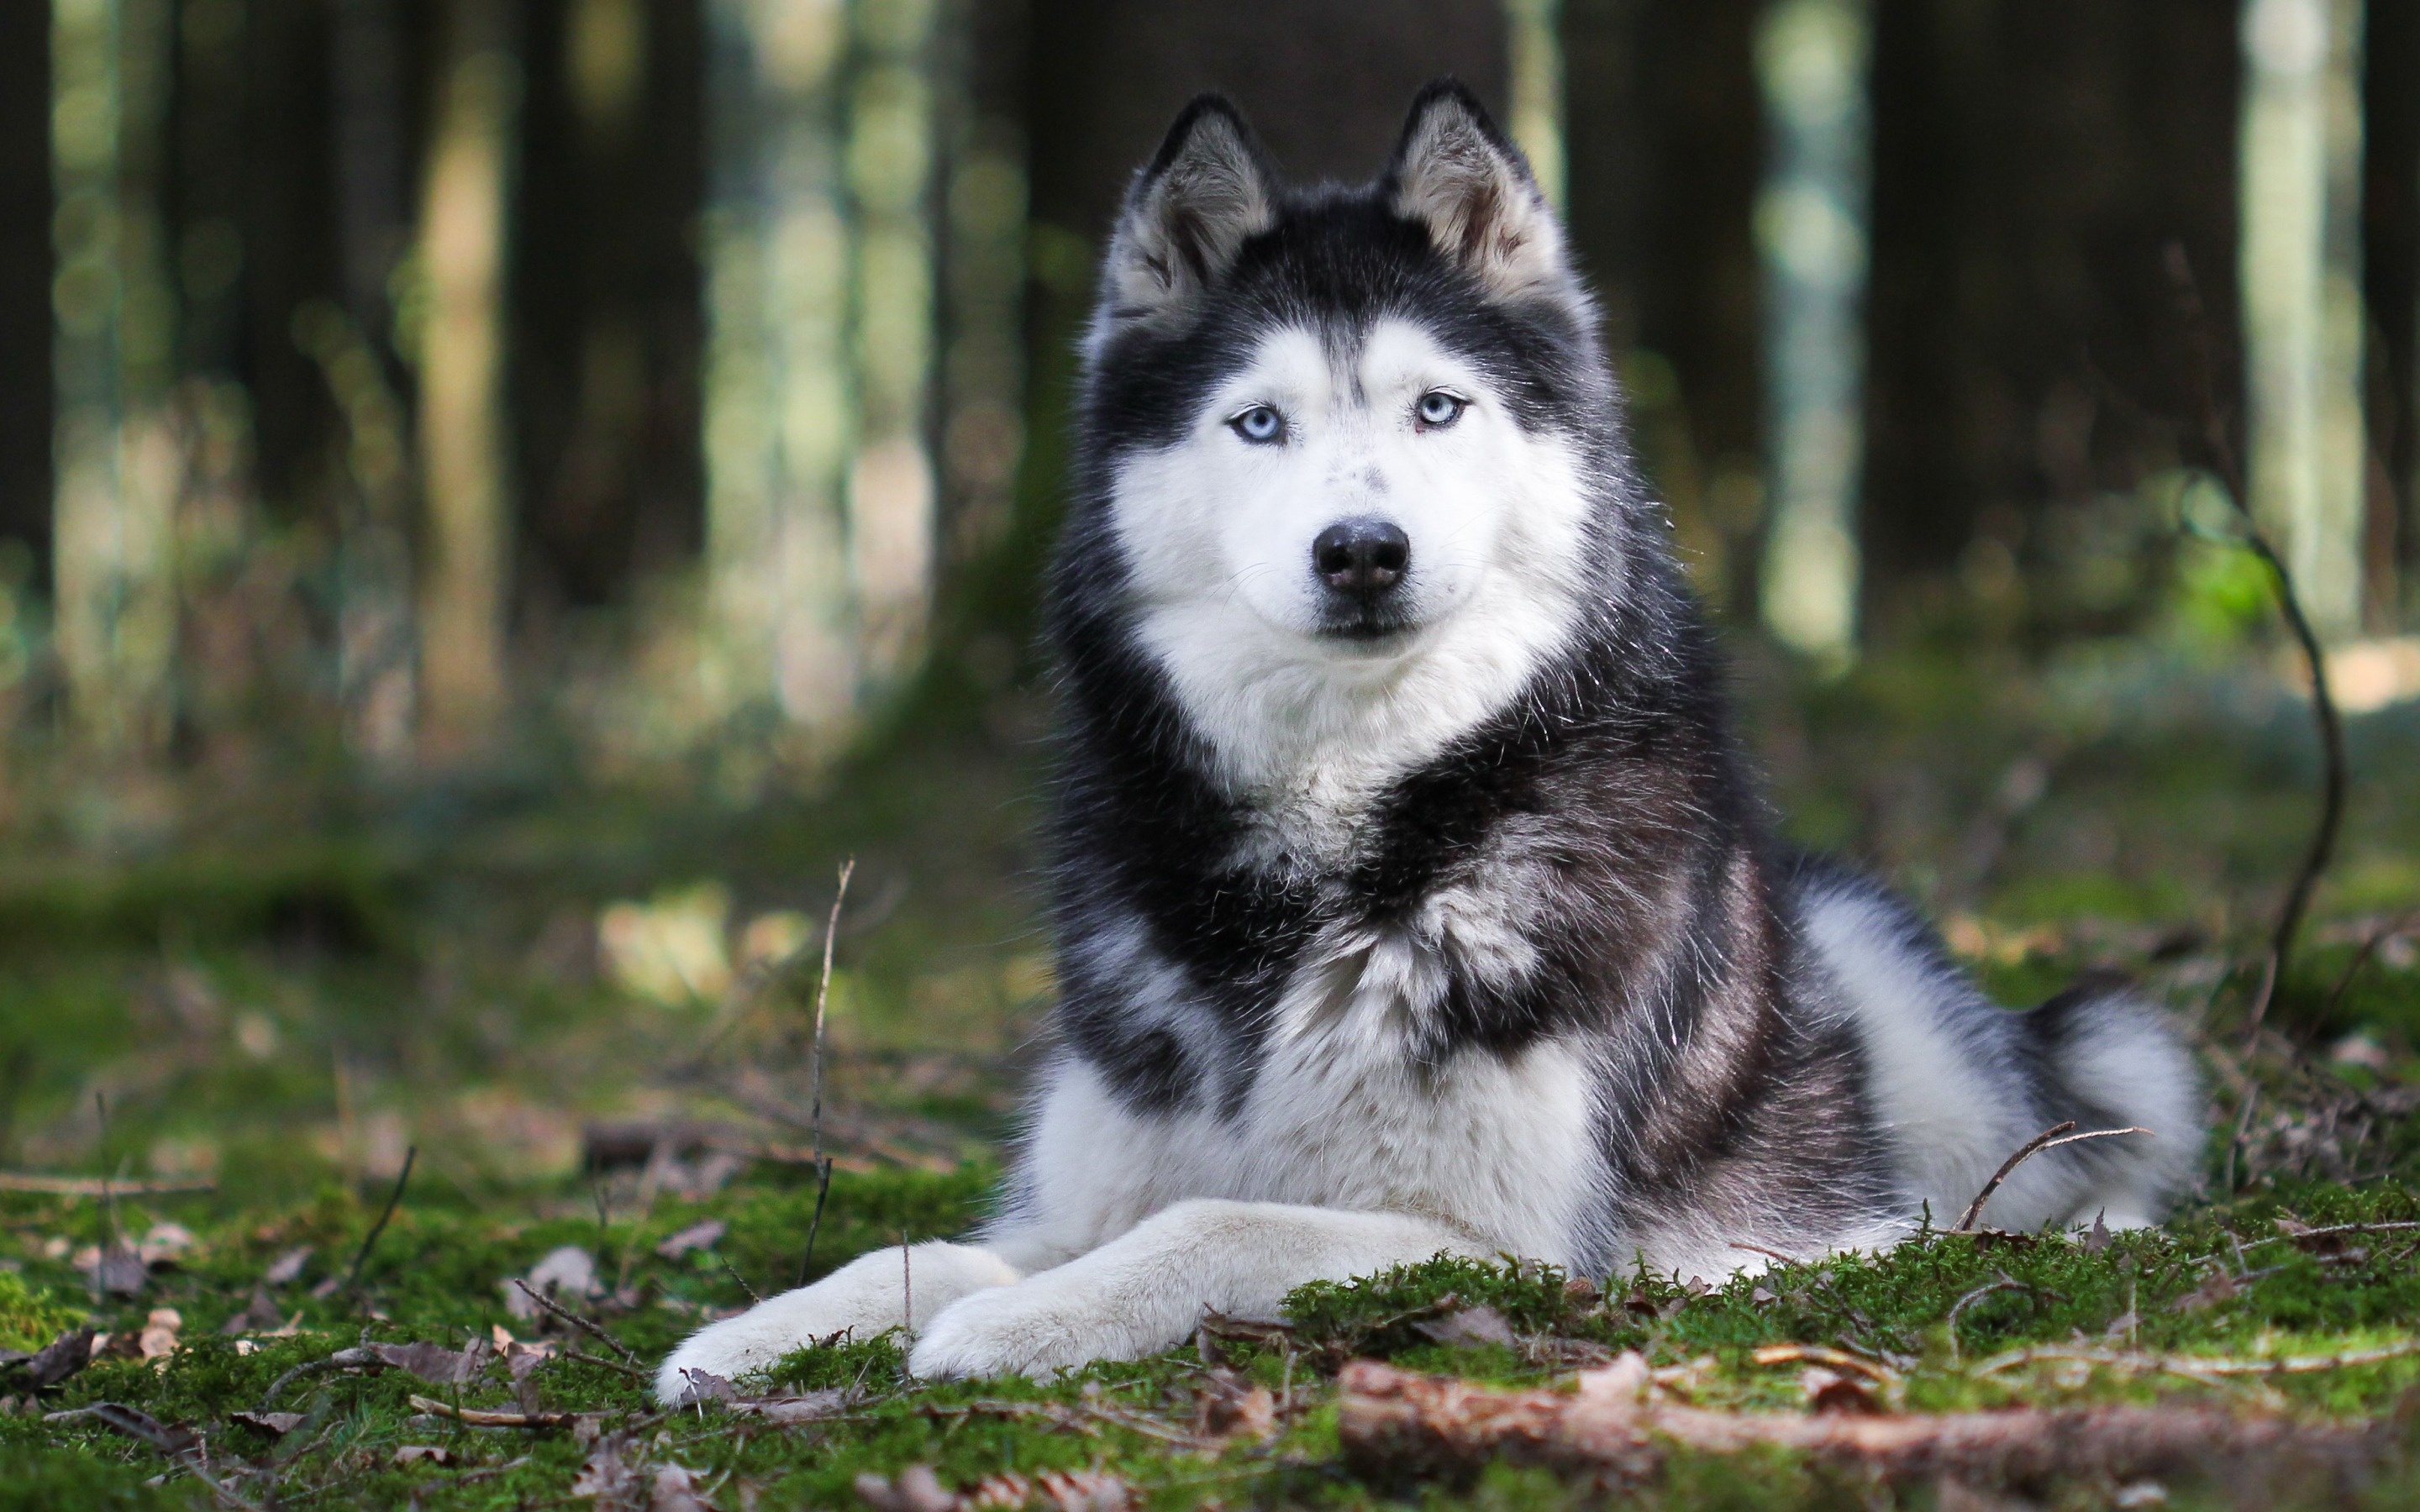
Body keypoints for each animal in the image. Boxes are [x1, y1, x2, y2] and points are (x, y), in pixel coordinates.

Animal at [658, 81, 2197, 1393]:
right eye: (1259, 423)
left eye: (1436, 407)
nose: (1362, 551)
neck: (1343, 829)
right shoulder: (1090, 1177)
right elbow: (920, 1249)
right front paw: (750, 1335)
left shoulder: (1515, 1246)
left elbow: (1216, 1224)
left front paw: (1018, 1326)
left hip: (1905, 1009)